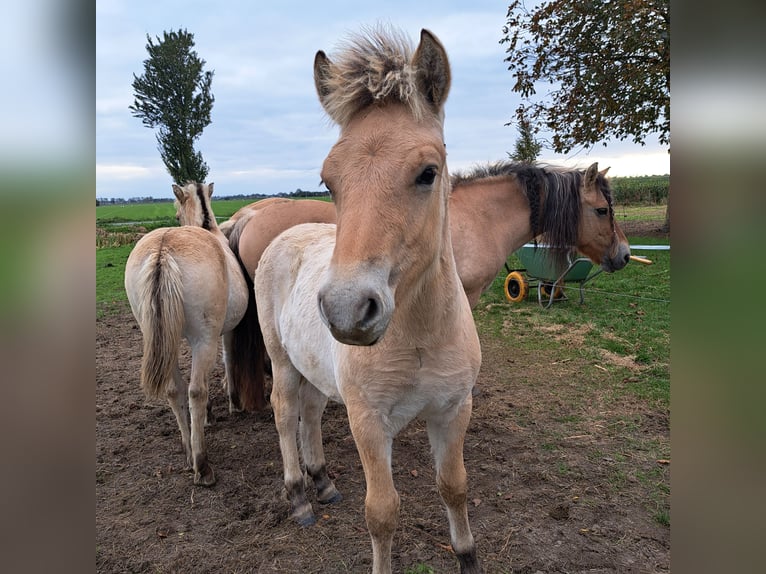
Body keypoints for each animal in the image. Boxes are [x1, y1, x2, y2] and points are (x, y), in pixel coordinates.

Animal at [124, 182, 263, 486]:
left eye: (176, 214)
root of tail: (163, 249)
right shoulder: (222, 334)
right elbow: (227, 362)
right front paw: (232, 403)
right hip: (204, 339)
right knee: (196, 390)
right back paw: (202, 464)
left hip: (166, 342)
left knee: (175, 390)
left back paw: (189, 453)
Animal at [254, 28, 483, 574]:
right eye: (328, 180)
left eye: (428, 172)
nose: (346, 310)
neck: (420, 337)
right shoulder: (369, 423)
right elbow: (382, 513)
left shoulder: (453, 410)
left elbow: (454, 487)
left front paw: (466, 555)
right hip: (282, 361)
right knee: (284, 411)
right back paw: (299, 496)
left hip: (313, 367)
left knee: (311, 410)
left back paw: (322, 481)